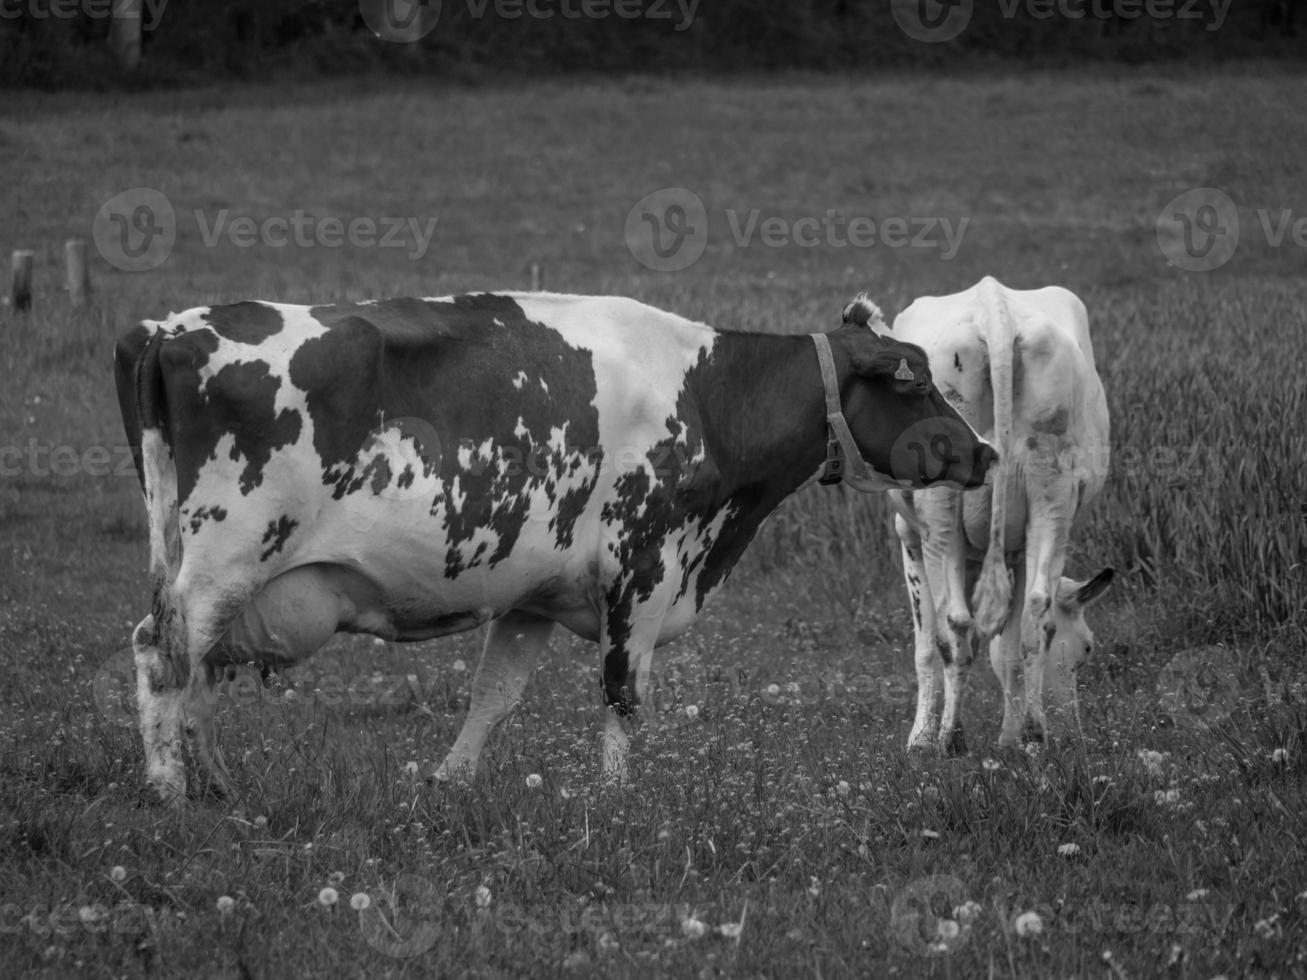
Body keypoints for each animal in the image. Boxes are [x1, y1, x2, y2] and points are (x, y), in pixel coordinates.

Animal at [115, 294, 988, 804]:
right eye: (914, 381)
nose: (982, 450)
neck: (711, 395)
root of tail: (168, 327)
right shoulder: (643, 563)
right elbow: (622, 694)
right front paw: (616, 803)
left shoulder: (533, 592)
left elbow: (493, 698)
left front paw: (448, 786)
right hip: (225, 559)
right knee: (162, 655)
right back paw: (169, 796)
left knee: (191, 670)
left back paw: (219, 785)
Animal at [846, 277, 1113, 752]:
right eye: (1087, 648)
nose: (1074, 730)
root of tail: (996, 308)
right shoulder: (1016, 548)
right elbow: (1007, 648)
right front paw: (1011, 734)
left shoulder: (908, 536)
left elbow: (927, 645)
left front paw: (919, 739)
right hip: (1051, 497)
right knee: (1035, 616)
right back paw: (1032, 734)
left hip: (939, 509)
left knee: (954, 626)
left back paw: (950, 739)